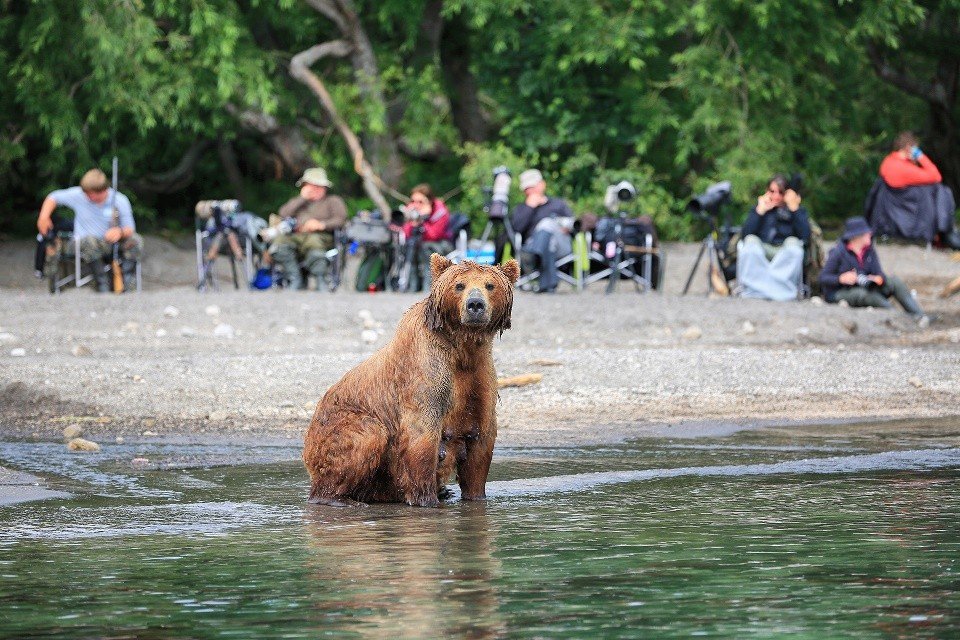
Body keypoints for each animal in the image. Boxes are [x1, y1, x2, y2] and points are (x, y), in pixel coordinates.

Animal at [306, 252, 516, 508]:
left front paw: (476, 496)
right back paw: (341, 498)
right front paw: (426, 499)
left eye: (490, 285)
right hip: (336, 429)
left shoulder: (480, 377)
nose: (475, 304)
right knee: (366, 434)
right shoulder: (426, 371)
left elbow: (480, 441)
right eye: (459, 285)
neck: (462, 346)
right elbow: (421, 434)